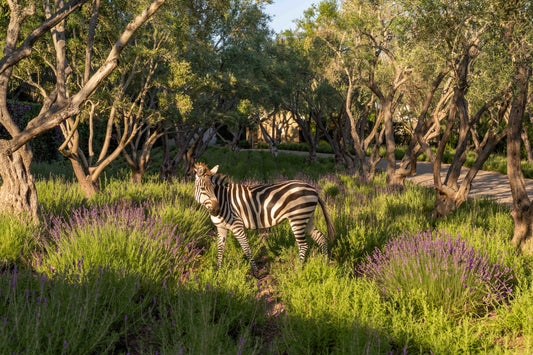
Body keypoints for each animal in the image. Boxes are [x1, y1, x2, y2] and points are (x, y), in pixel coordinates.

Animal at [193, 163, 334, 278]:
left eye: (213, 188)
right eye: (202, 188)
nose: (216, 210)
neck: (223, 200)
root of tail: (314, 189)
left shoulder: (237, 225)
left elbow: (246, 248)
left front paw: (256, 273)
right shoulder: (221, 227)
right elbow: (220, 250)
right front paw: (218, 271)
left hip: (297, 218)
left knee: (304, 245)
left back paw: (297, 271)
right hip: (307, 218)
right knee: (321, 238)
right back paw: (325, 263)